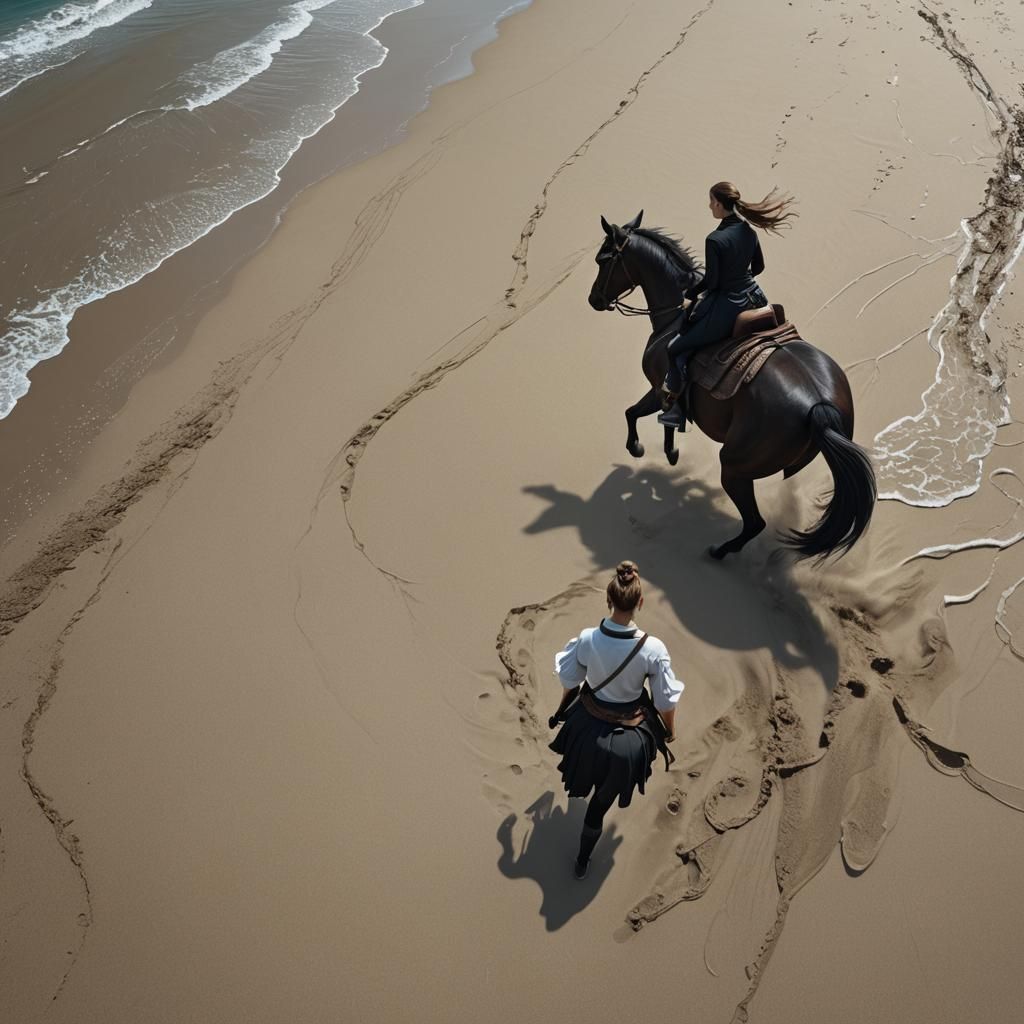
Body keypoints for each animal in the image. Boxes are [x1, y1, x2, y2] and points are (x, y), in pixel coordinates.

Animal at [588, 211, 876, 561]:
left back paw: (719, 551)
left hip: (735, 466)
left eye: (602, 260)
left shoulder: (660, 386)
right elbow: (662, 420)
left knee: (754, 522)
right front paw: (670, 452)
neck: (675, 317)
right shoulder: (665, 393)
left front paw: (638, 448)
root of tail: (820, 406)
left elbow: (632, 412)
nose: (594, 299)